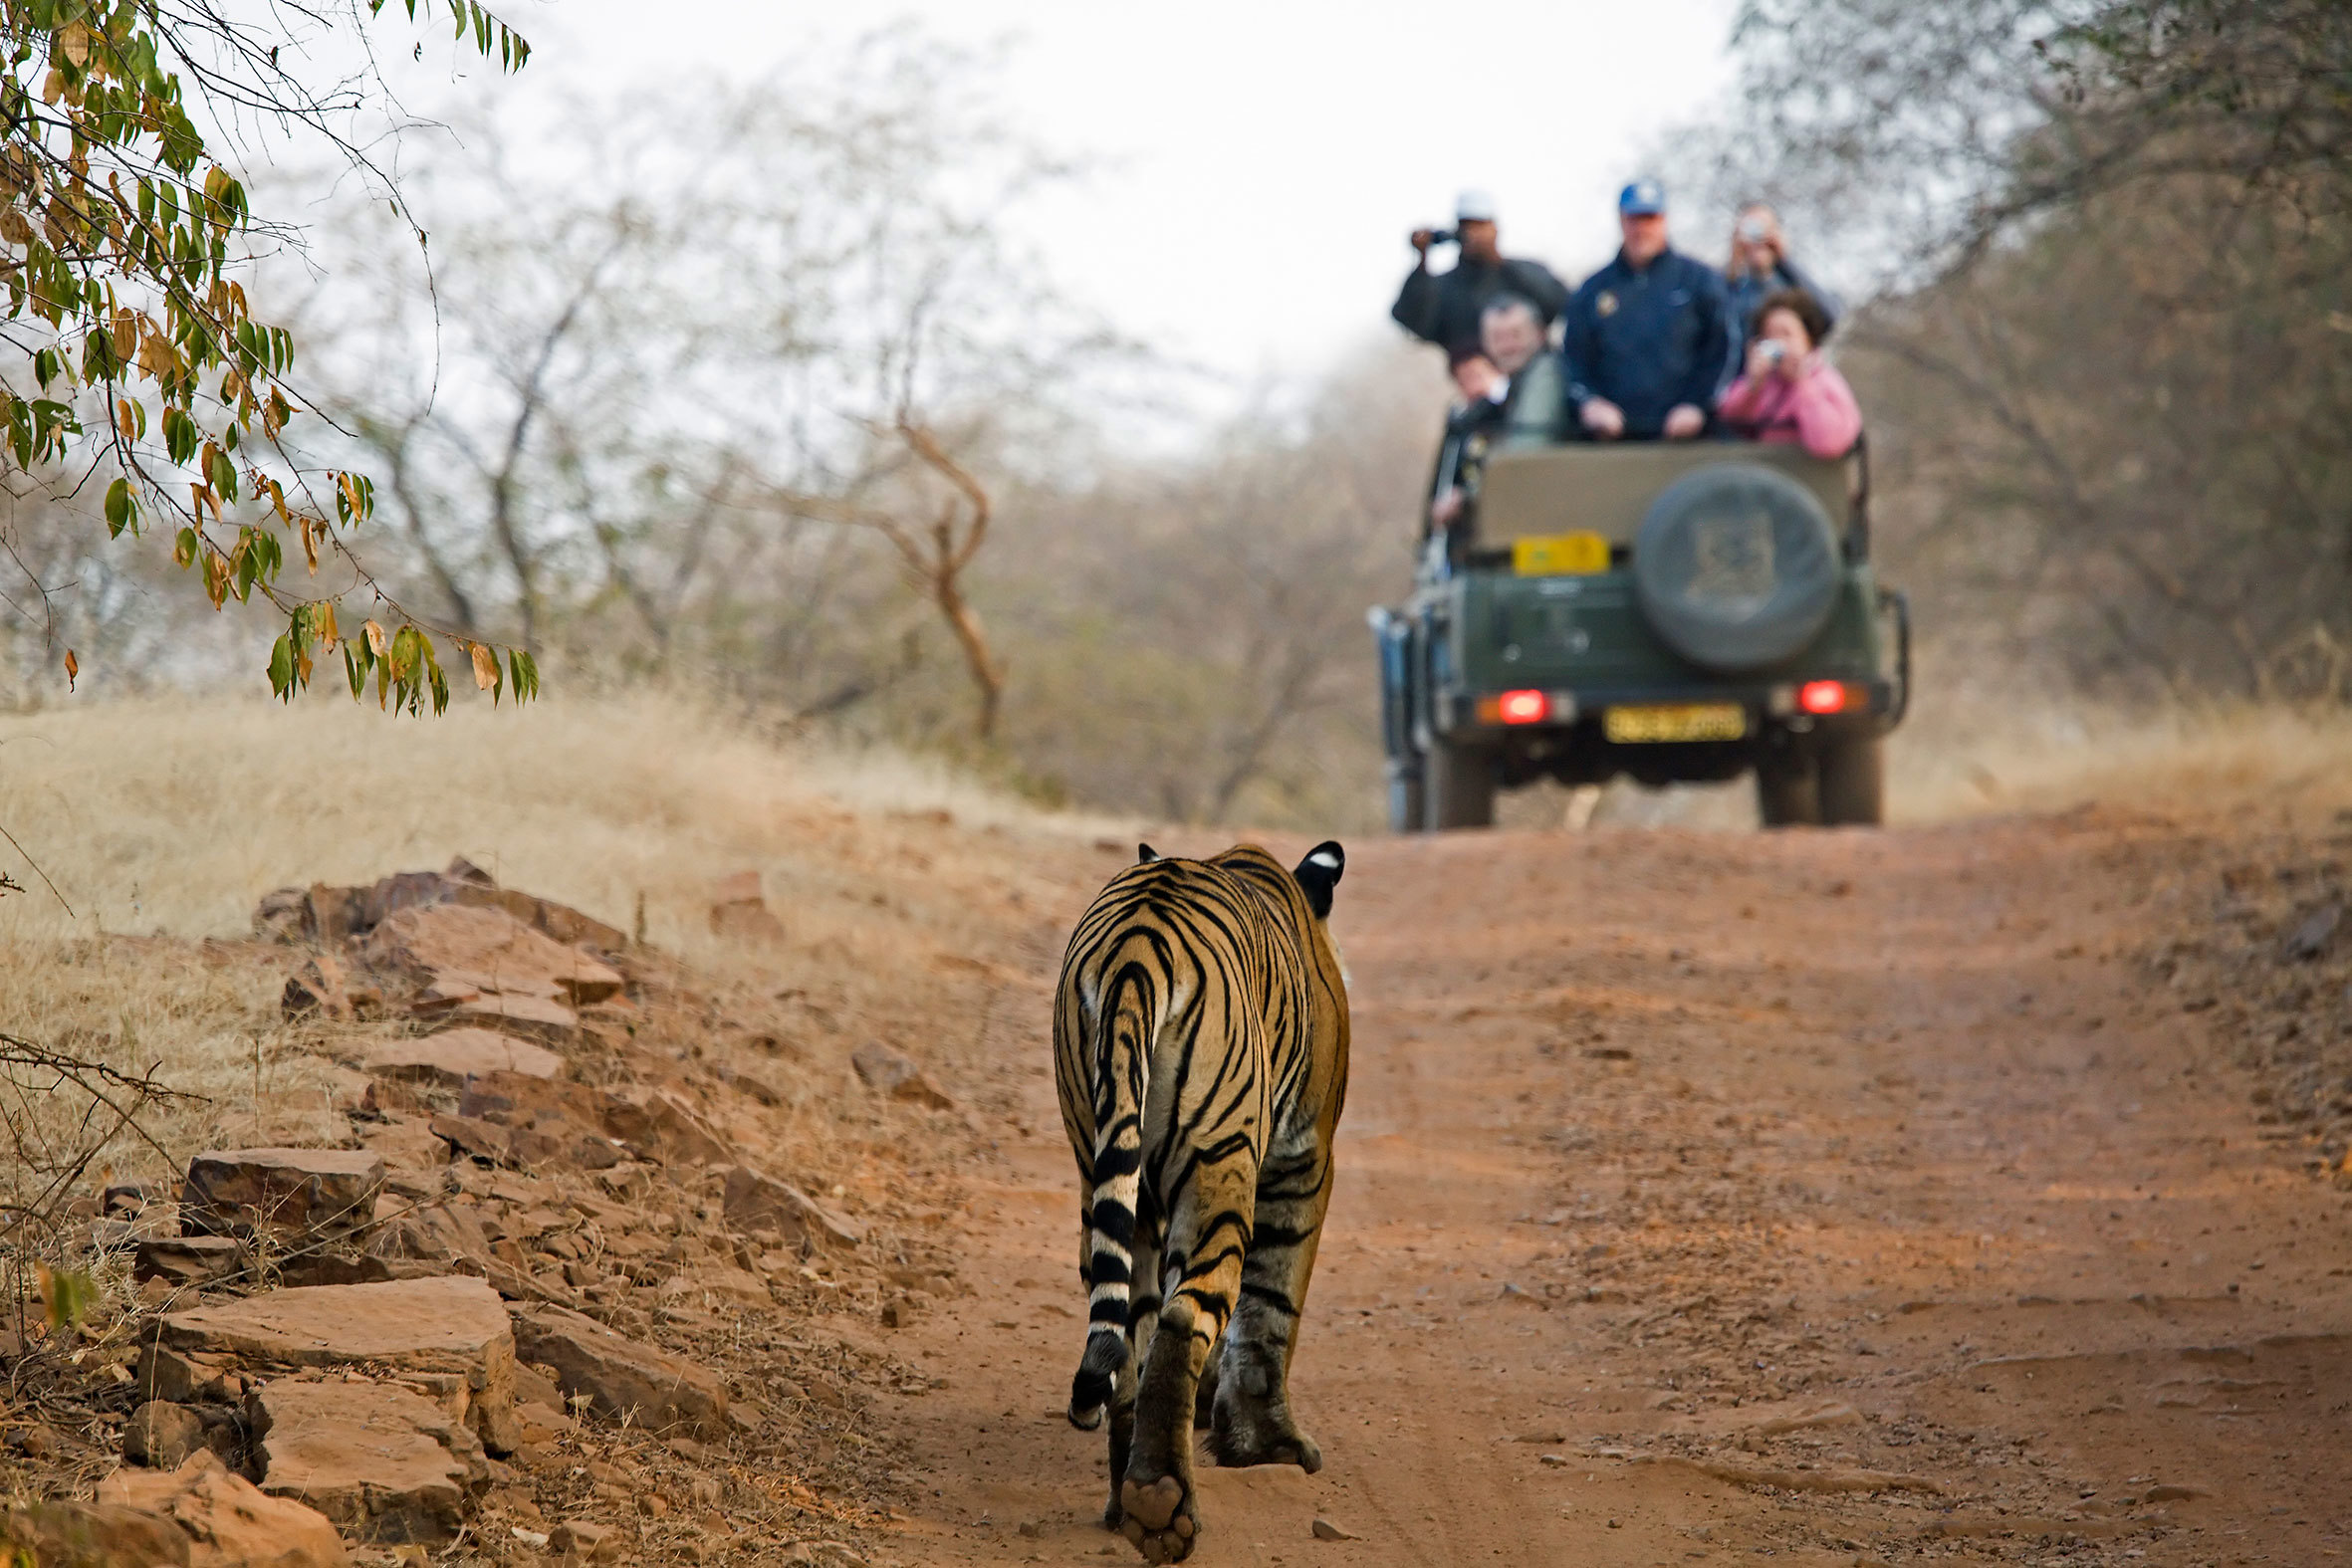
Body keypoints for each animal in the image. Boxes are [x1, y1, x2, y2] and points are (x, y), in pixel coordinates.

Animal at [1052, 839, 1350, 1564]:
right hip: (1220, 1161)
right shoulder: (1303, 1160)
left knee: (1130, 1327)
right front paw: (1267, 1446)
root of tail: (1136, 948)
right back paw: (1163, 1505)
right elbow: (1273, 1304)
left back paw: (1130, 1499)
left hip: (1103, 1157)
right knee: (1186, 1313)